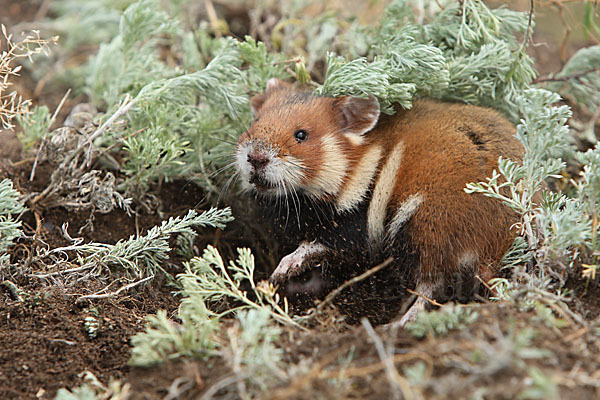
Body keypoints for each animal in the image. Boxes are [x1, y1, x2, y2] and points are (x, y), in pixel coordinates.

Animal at [232, 78, 524, 324]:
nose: (255, 158)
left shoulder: (354, 230)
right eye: (255, 121)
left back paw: (400, 323)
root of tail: (493, 250)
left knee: (433, 285)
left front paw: (280, 272)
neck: (354, 166)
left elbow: (310, 247)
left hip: (424, 227)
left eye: (301, 135)